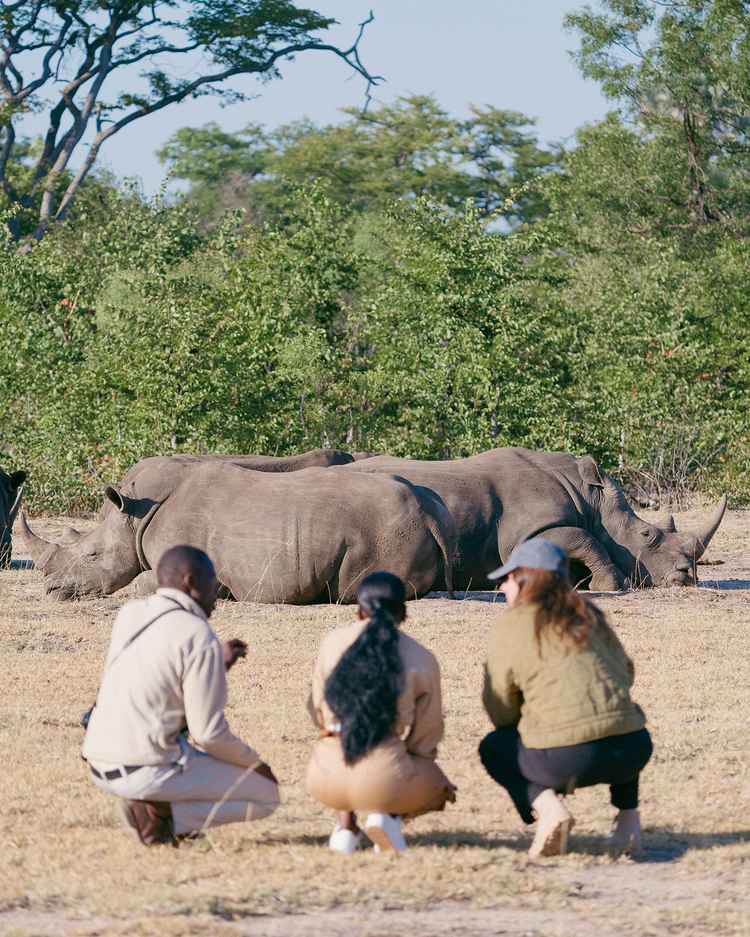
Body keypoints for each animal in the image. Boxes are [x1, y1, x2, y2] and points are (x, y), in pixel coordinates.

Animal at [21, 463, 456, 603]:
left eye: (92, 555)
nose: (51, 590)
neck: (134, 516)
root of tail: (429, 512)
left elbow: (141, 585)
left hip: (386, 529)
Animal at [345, 447, 727, 591]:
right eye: (648, 535)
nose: (687, 576)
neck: (591, 500)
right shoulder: (529, 531)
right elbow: (585, 539)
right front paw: (612, 586)